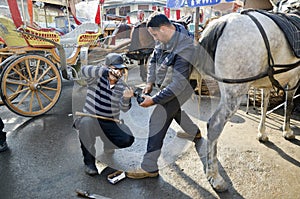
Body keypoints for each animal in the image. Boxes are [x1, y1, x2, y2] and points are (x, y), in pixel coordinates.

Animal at [127, 0, 298, 193]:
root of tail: (222, 22)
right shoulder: (294, 80)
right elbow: (289, 105)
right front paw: (287, 131)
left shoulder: (267, 83)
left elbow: (264, 106)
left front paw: (262, 133)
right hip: (235, 91)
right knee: (214, 124)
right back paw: (215, 177)